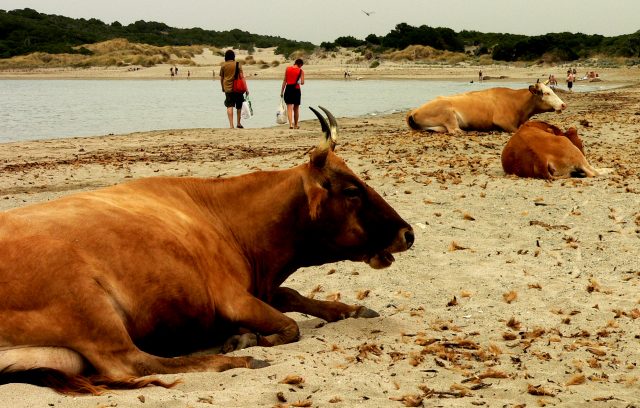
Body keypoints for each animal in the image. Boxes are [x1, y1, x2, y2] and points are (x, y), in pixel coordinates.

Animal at [0, 107, 416, 394]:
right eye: (352, 191)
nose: (408, 233)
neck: (227, 221)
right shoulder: (232, 296)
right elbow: (290, 325)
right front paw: (245, 339)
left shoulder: (261, 286)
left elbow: (294, 295)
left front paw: (351, 309)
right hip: (88, 303)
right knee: (133, 363)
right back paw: (241, 358)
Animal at [408, 81, 568, 134]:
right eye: (547, 93)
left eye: (552, 90)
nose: (563, 104)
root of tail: (414, 111)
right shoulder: (502, 121)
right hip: (448, 113)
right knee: (455, 131)